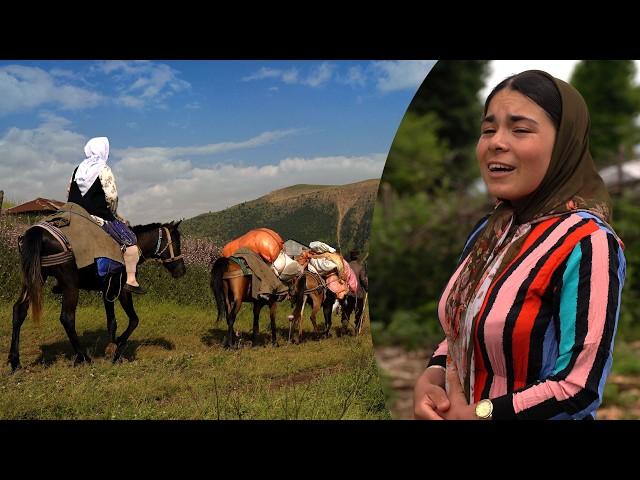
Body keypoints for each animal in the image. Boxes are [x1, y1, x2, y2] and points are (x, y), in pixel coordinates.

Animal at [8, 221, 186, 372]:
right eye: (176, 243)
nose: (181, 271)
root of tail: (38, 231)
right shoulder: (122, 290)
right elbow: (134, 320)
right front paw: (117, 349)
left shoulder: (108, 290)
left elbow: (112, 322)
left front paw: (113, 349)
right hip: (70, 285)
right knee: (67, 318)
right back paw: (83, 357)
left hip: (35, 278)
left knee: (19, 310)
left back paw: (15, 362)